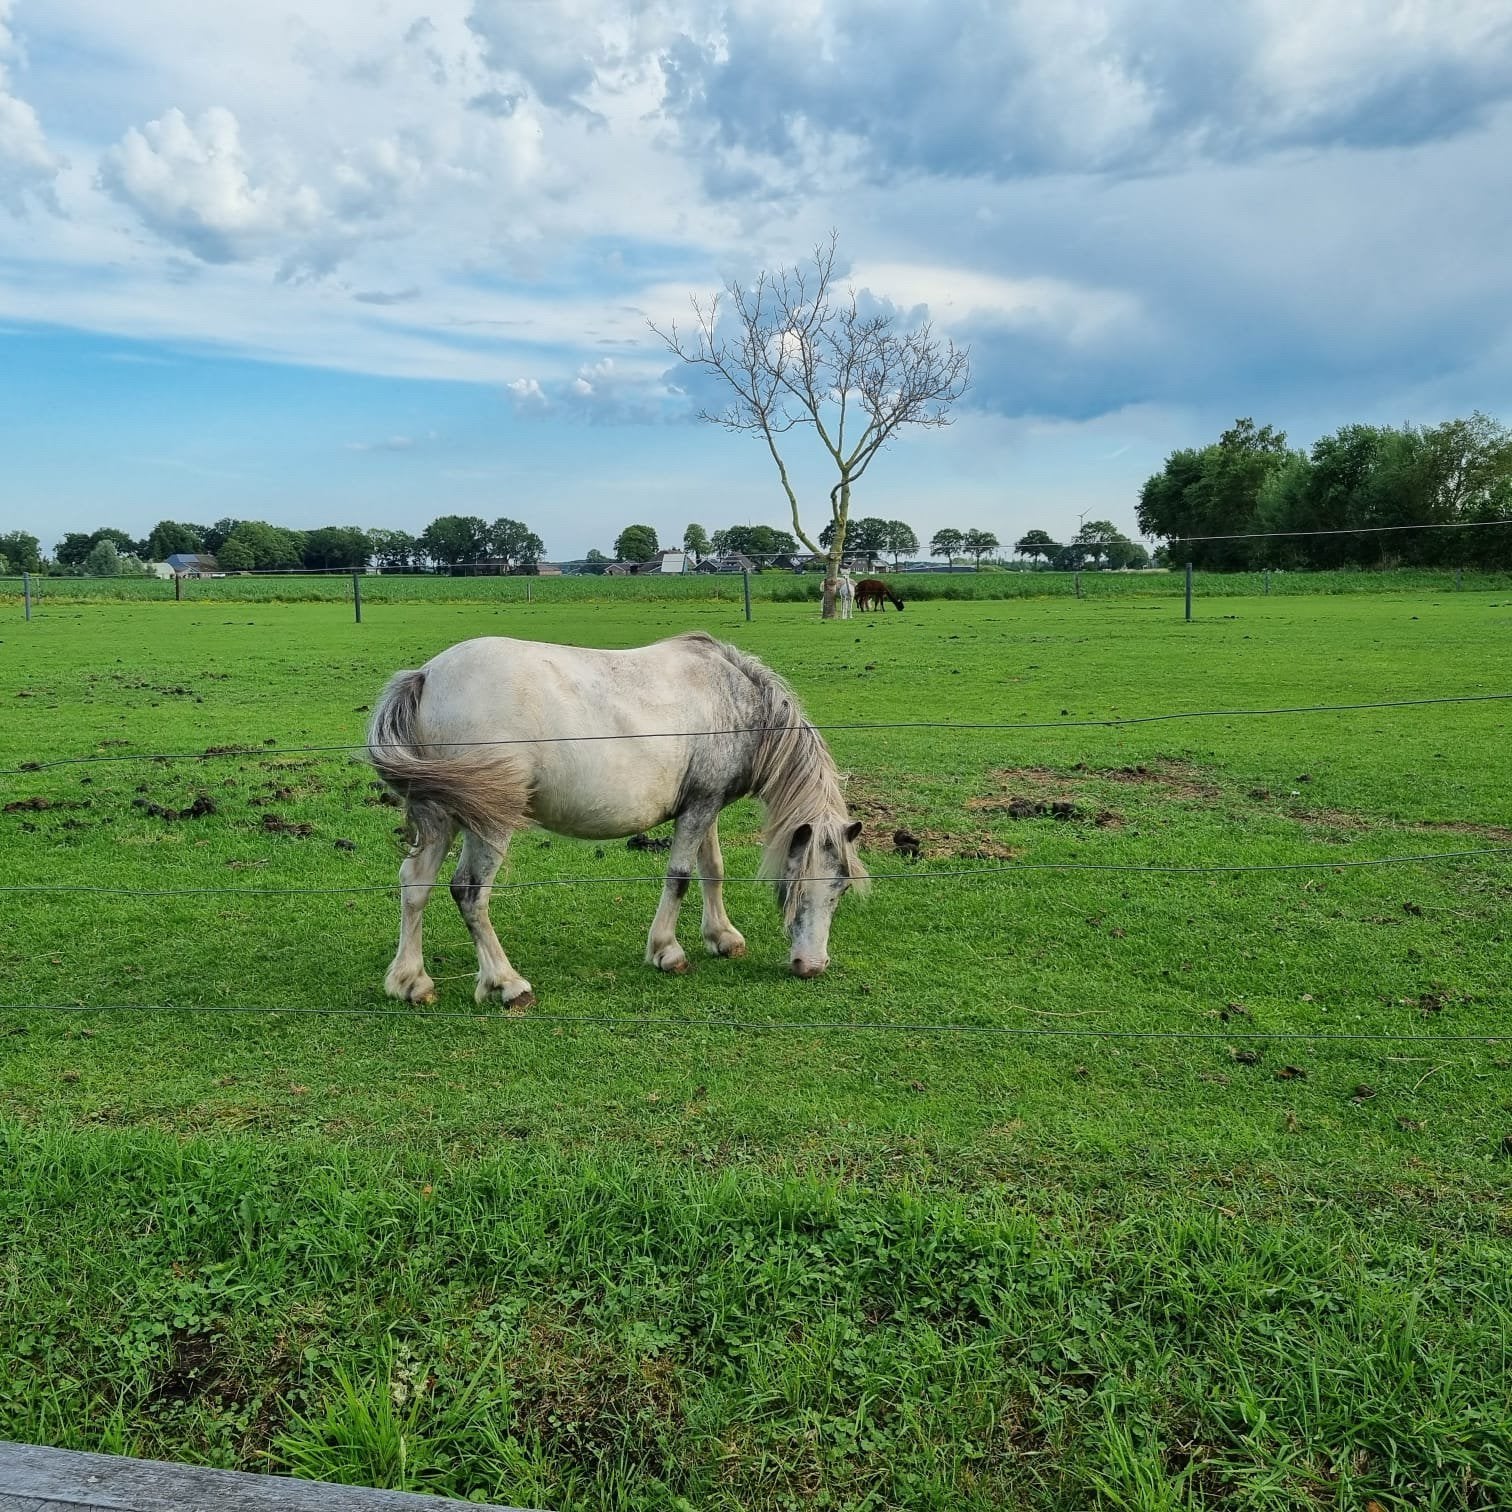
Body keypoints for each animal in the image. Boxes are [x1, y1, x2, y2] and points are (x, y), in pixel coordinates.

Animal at [365, 632, 867, 1006]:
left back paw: (411, 981)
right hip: (490, 822)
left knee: (415, 883)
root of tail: (428, 676)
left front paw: (722, 937)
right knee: (469, 891)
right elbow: (680, 877)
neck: (734, 696)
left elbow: (713, 870)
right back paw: (507, 983)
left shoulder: (705, 803)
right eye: (798, 884)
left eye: (840, 888)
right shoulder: (700, 808)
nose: (811, 966)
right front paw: (667, 951)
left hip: (440, 815)